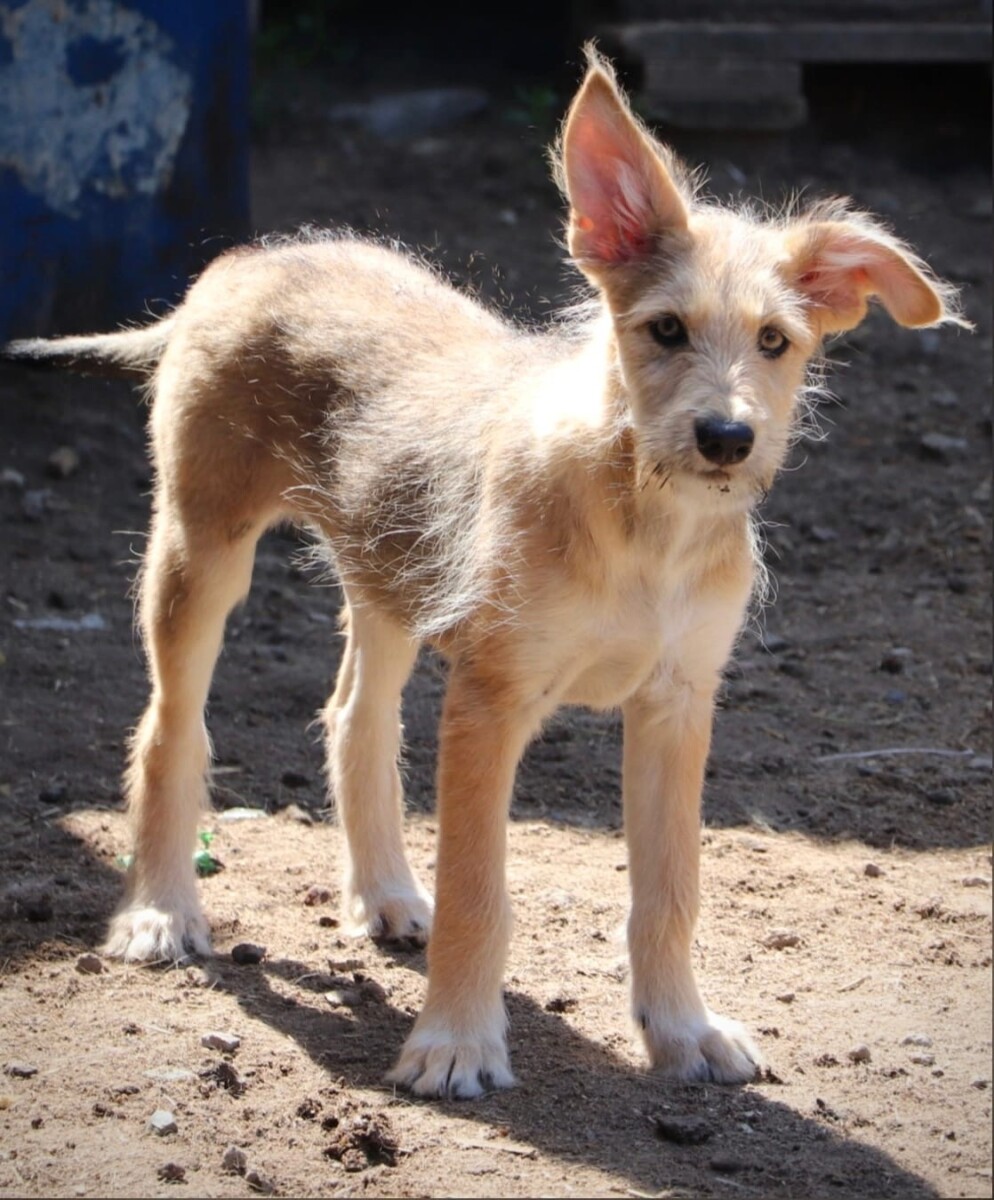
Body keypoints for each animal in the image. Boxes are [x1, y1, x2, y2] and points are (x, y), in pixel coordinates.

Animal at [1, 46, 965, 1099]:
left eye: (775, 343)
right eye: (666, 331)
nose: (725, 438)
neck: (645, 520)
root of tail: (241, 264)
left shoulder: (677, 703)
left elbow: (670, 890)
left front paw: (681, 1029)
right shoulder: (490, 699)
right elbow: (479, 890)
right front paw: (456, 1042)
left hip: (388, 568)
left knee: (356, 717)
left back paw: (384, 892)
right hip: (199, 549)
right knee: (170, 730)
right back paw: (162, 911)